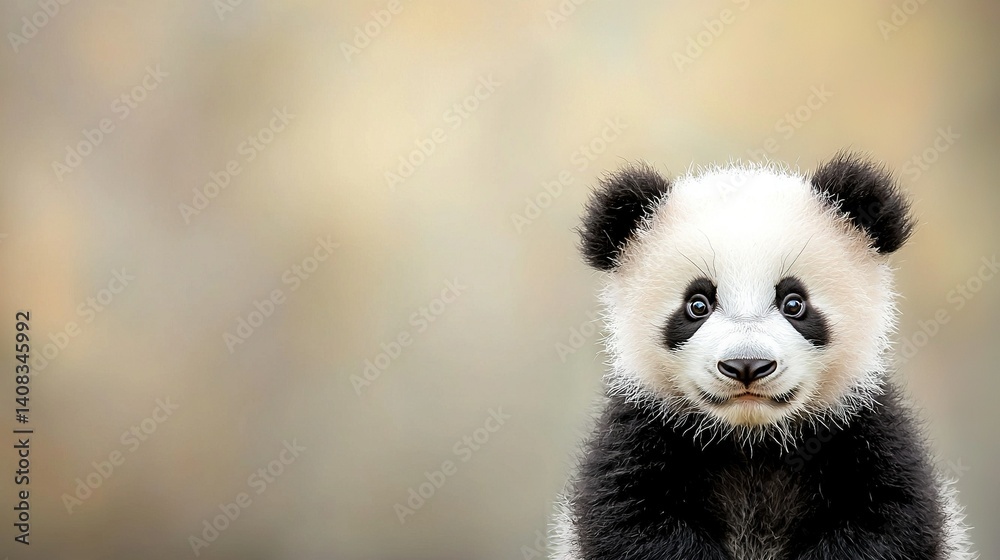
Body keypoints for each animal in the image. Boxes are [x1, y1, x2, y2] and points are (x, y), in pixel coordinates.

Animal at [551, 153, 976, 560]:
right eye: (697, 304)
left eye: (794, 303)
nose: (747, 366)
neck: (753, 441)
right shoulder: (641, 433)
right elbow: (633, 521)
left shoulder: (863, 429)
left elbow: (886, 520)